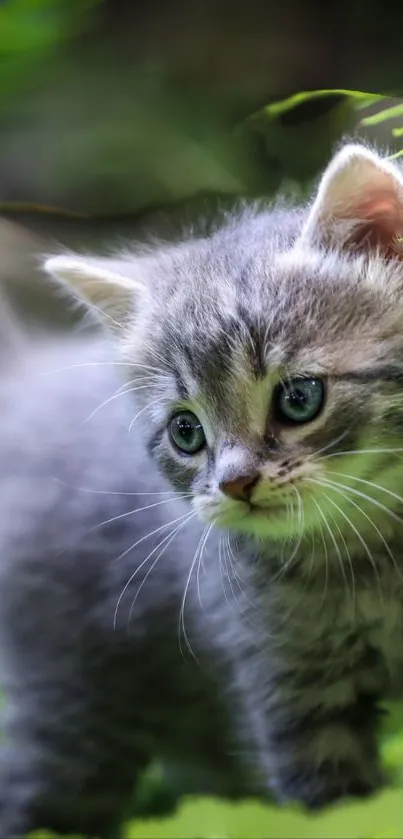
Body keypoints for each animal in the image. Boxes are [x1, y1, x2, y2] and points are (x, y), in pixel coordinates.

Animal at [0, 141, 403, 836]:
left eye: (300, 398)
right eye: (186, 431)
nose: (236, 483)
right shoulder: (288, 688)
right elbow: (336, 808)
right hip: (72, 716)